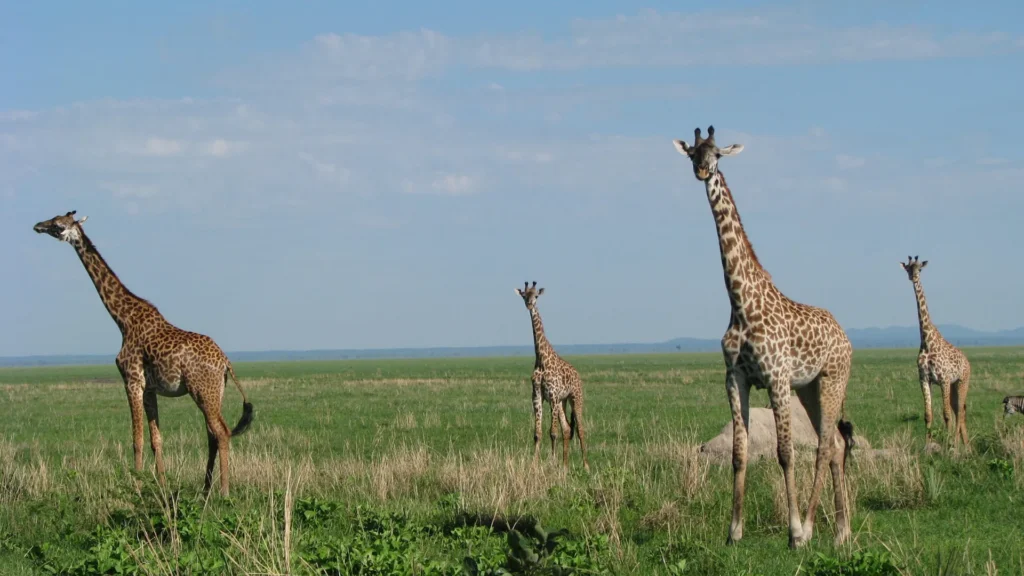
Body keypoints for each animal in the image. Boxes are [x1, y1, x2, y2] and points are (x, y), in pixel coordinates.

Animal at [33, 211, 254, 496]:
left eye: (59, 226)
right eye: (52, 218)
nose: (38, 226)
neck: (123, 319)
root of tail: (226, 362)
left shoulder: (132, 380)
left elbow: (136, 439)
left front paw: (135, 485)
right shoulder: (150, 388)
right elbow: (155, 439)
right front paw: (161, 485)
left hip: (201, 390)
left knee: (222, 431)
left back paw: (223, 492)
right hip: (215, 392)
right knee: (212, 434)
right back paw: (205, 489)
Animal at [514, 281, 590, 472]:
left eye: (536, 296)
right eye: (524, 295)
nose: (529, 304)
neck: (541, 359)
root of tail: (578, 375)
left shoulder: (553, 396)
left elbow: (552, 432)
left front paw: (552, 462)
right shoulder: (538, 396)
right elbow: (538, 433)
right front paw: (535, 464)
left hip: (575, 398)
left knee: (580, 429)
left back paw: (586, 466)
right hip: (563, 402)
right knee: (568, 429)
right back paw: (565, 465)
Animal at [673, 126, 855, 549]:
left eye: (717, 154)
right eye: (692, 153)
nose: (702, 171)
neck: (741, 302)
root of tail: (844, 334)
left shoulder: (776, 379)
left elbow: (785, 453)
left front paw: (794, 531)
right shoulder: (735, 378)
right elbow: (739, 453)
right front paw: (734, 532)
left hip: (832, 380)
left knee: (824, 446)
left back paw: (811, 528)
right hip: (808, 388)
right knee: (836, 446)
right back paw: (841, 532)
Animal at [900, 255, 970, 446]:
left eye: (919, 269)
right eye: (908, 269)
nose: (914, 277)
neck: (926, 341)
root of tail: (968, 361)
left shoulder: (944, 379)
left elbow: (946, 415)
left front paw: (949, 444)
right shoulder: (925, 379)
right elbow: (928, 415)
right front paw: (928, 444)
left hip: (962, 382)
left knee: (959, 411)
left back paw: (959, 444)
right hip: (954, 385)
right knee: (959, 412)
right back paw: (965, 445)